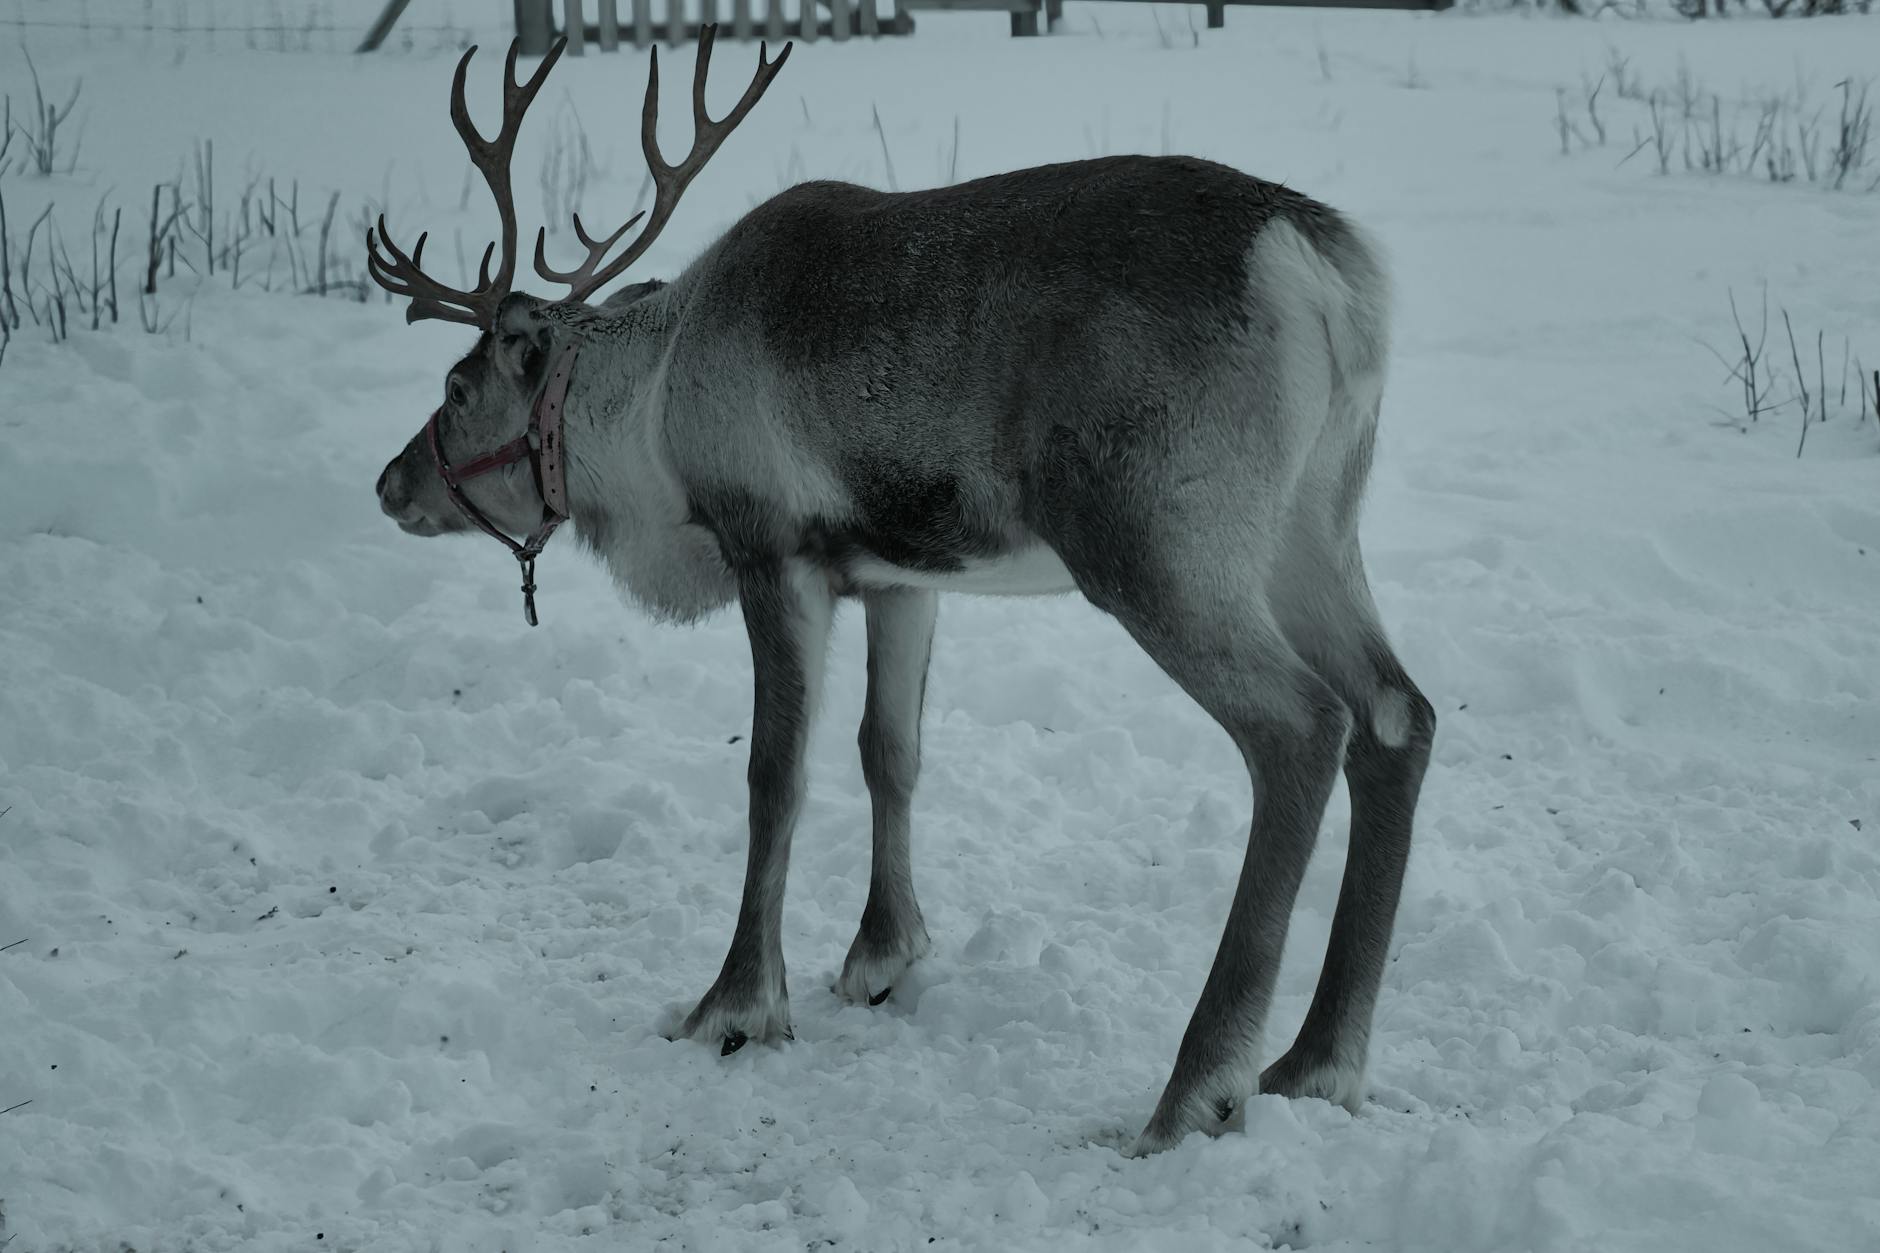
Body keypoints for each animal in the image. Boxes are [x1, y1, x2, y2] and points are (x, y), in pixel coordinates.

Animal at [368, 28, 1435, 1157]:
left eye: (458, 388)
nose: (389, 482)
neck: (653, 414)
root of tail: (1322, 267)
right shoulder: (899, 574)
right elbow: (890, 751)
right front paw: (884, 952)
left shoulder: (772, 550)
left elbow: (775, 777)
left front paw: (735, 1002)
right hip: (1314, 523)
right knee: (1395, 712)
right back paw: (1317, 1062)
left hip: (1157, 540)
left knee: (1299, 726)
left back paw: (1198, 1087)